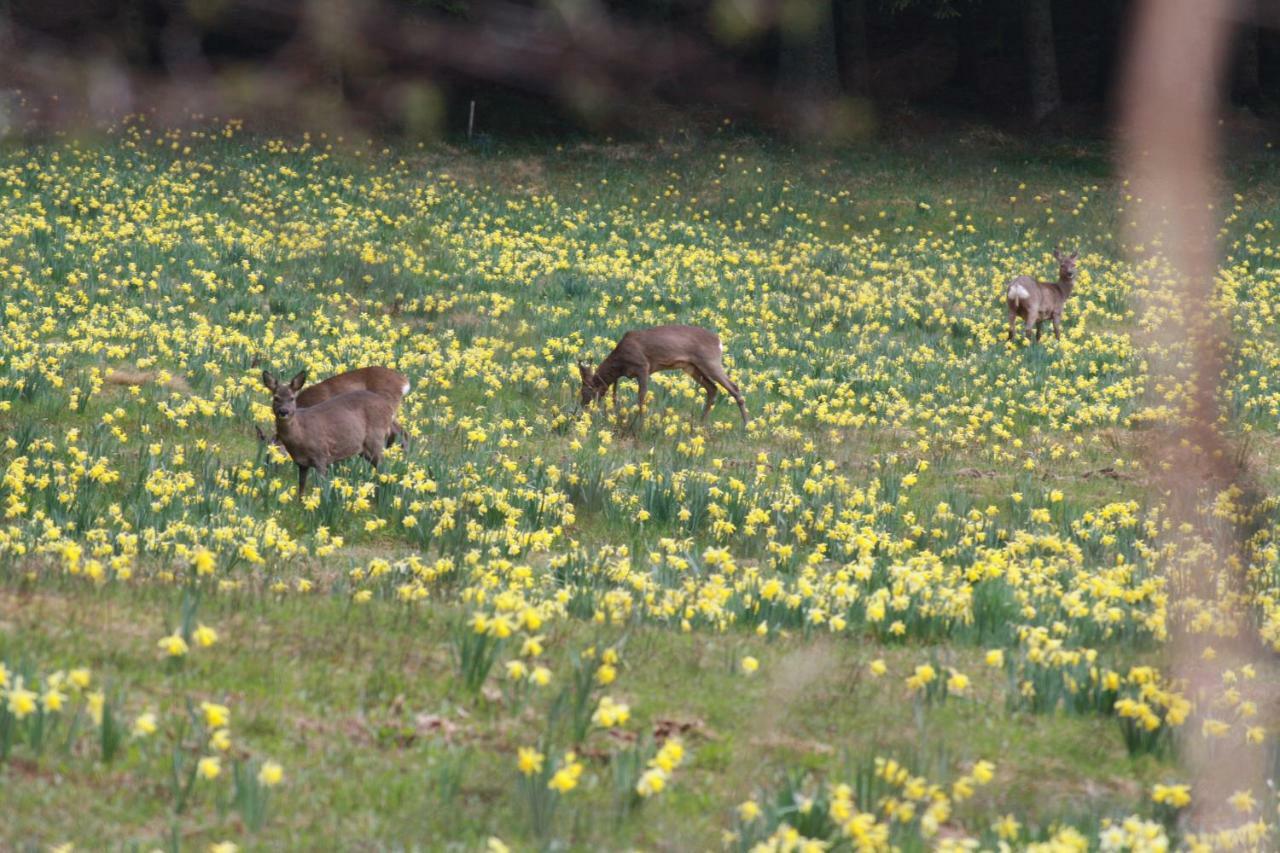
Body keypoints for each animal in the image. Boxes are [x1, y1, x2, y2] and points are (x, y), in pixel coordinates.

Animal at [262, 366, 396, 499]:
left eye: (292, 398)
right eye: (276, 398)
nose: (283, 411)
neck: (301, 434)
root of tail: (388, 408)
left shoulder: (321, 456)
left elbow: (320, 488)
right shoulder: (301, 463)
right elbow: (301, 489)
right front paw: (301, 502)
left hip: (376, 439)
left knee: (384, 468)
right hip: (364, 449)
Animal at [576, 320, 747, 425]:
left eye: (585, 390)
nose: (582, 408)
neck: (620, 363)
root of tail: (719, 341)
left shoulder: (643, 366)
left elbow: (641, 396)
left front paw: (639, 423)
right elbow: (617, 395)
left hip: (710, 361)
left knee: (734, 387)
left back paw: (746, 426)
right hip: (692, 367)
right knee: (712, 388)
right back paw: (700, 423)